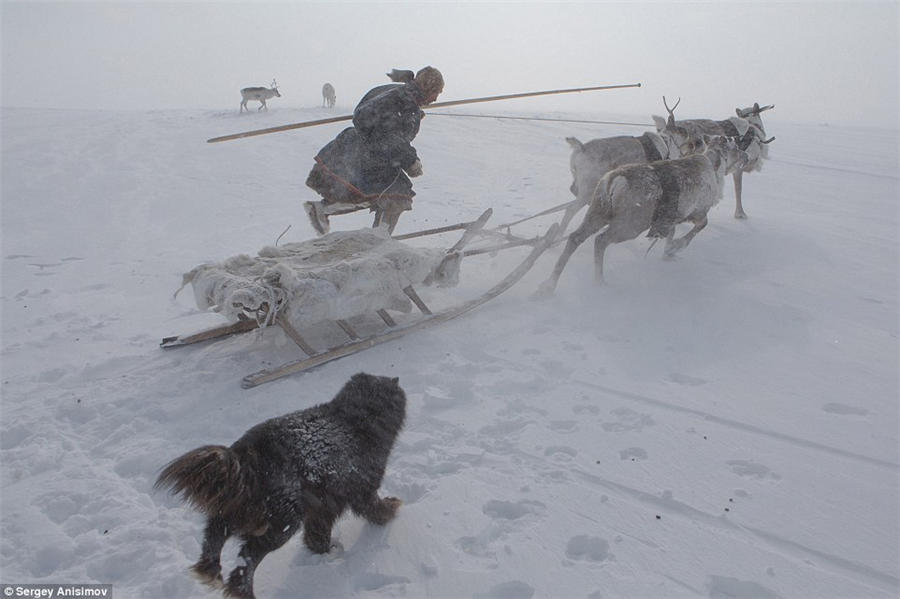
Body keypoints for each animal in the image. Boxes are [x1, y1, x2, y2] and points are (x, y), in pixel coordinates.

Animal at [156, 376, 406, 599]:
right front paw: (390, 511)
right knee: (246, 559)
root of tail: (245, 456)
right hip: (281, 522)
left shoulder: (322, 504)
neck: (353, 419)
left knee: (215, 532)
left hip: (236, 506)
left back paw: (209, 570)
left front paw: (322, 550)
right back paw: (242, 592)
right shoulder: (361, 488)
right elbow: (374, 508)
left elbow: (317, 532)